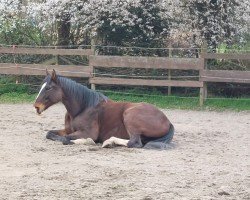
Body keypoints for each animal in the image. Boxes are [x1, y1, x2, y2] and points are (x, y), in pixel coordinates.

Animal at [33, 69, 175, 149]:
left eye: (49, 88)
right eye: (42, 86)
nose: (36, 106)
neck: (83, 108)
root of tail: (167, 121)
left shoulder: (88, 133)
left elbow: (66, 139)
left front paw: (88, 142)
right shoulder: (68, 130)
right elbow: (50, 134)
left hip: (129, 115)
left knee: (134, 143)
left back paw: (109, 142)